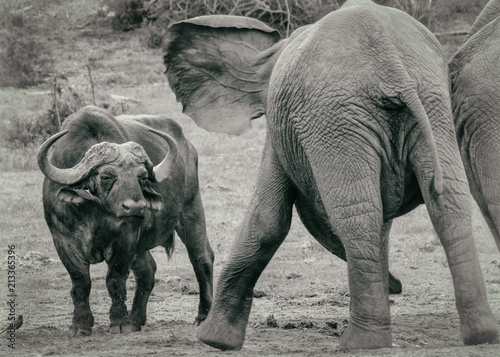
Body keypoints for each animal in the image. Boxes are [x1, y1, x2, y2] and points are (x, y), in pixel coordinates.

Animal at [37, 104, 213, 336]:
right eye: (106, 177)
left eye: (142, 177)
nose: (136, 207)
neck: (95, 213)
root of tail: (189, 148)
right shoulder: (62, 240)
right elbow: (81, 282)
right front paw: (80, 324)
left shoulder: (126, 240)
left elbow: (115, 280)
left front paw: (119, 322)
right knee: (148, 271)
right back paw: (137, 318)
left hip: (190, 209)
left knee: (202, 259)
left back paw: (203, 316)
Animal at [162, 0, 498, 350]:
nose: (397, 284)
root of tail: (392, 63)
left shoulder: (279, 129)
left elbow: (268, 219)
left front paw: (213, 339)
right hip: (428, 105)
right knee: (447, 203)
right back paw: (481, 334)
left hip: (337, 118)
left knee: (357, 215)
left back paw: (362, 342)